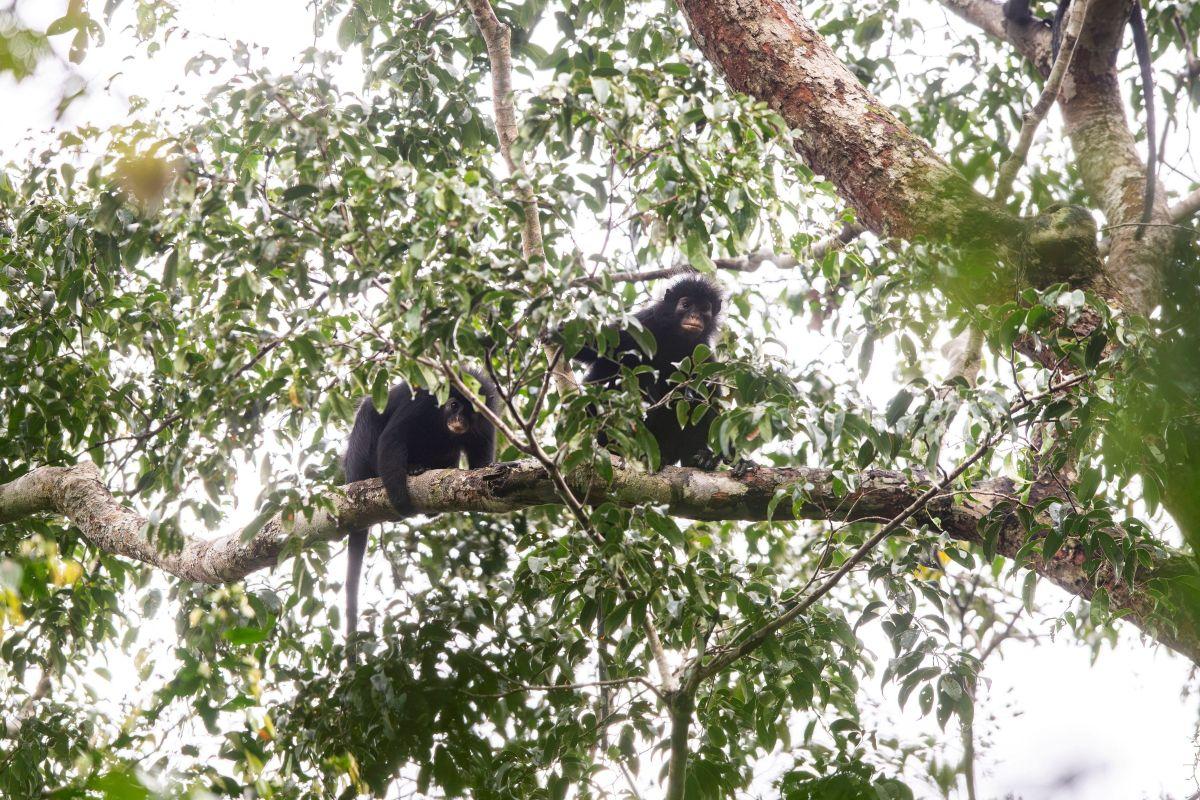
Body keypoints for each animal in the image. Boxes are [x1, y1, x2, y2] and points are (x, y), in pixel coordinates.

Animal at [341, 370, 499, 653]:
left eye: (472, 410)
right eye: (454, 405)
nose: (459, 420)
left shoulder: (487, 418)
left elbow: (481, 467)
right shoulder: (422, 403)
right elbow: (392, 438)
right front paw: (400, 500)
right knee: (370, 411)